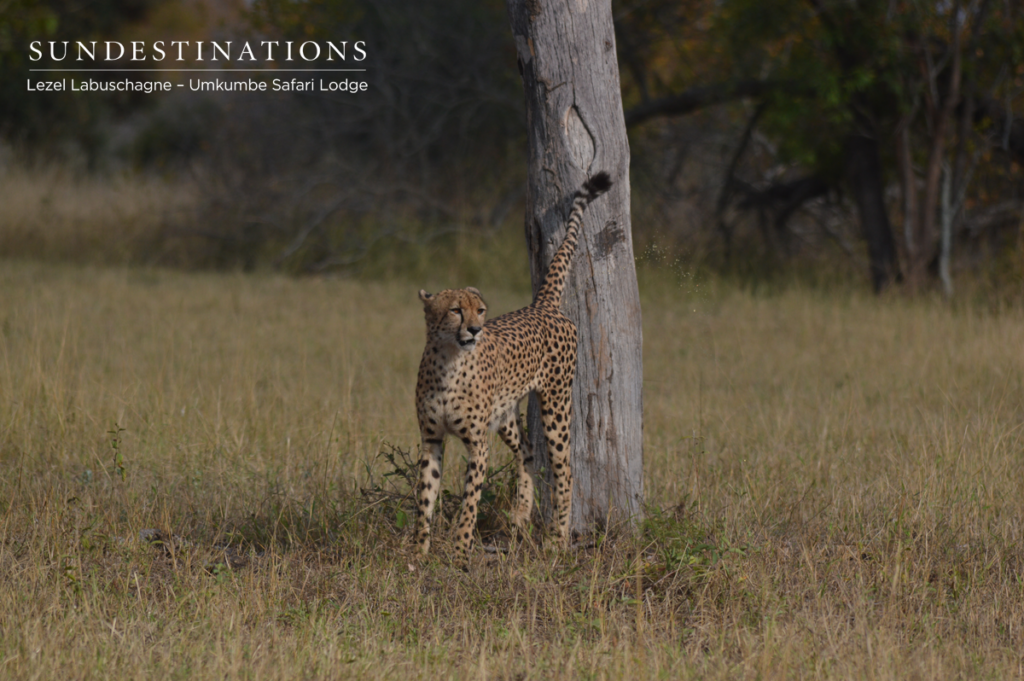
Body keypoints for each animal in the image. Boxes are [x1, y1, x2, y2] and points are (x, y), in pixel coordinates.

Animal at [413, 171, 612, 564]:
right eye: (456, 310)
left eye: (480, 310)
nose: (476, 329)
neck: (448, 362)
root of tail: (542, 305)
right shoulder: (431, 438)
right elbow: (425, 496)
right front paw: (416, 552)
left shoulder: (478, 444)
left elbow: (470, 503)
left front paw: (460, 553)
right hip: (504, 414)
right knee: (528, 451)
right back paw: (521, 513)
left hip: (556, 405)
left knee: (565, 469)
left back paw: (558, 538)